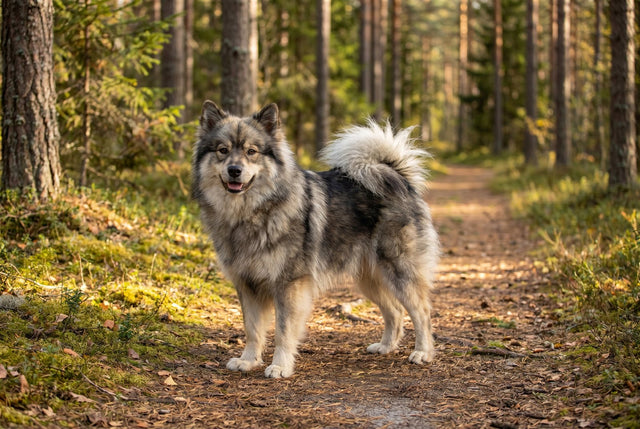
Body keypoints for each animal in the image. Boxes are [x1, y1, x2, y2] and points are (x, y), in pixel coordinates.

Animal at [192, 101, 439, 378]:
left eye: (251, 152)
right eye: (222, 151)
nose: (234, 171)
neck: (251, 213)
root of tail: (398, 177)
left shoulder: (289, 284)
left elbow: (283, 331)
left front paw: (280, 366)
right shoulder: (248, 285)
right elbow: (252, 330)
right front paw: (248, 360)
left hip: (400, 271)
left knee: (422, 313)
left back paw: (423, 352)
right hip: (370, 279)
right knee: (394, 311)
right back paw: (385, 346)